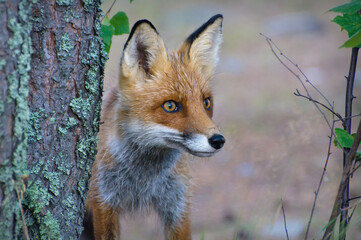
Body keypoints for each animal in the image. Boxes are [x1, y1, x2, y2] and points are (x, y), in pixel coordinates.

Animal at [83, 14, 225, 239]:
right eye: (170, 106)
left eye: (206, 103)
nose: (218, 140)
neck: (144, 181)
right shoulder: (102, 202)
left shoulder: (178, 206)